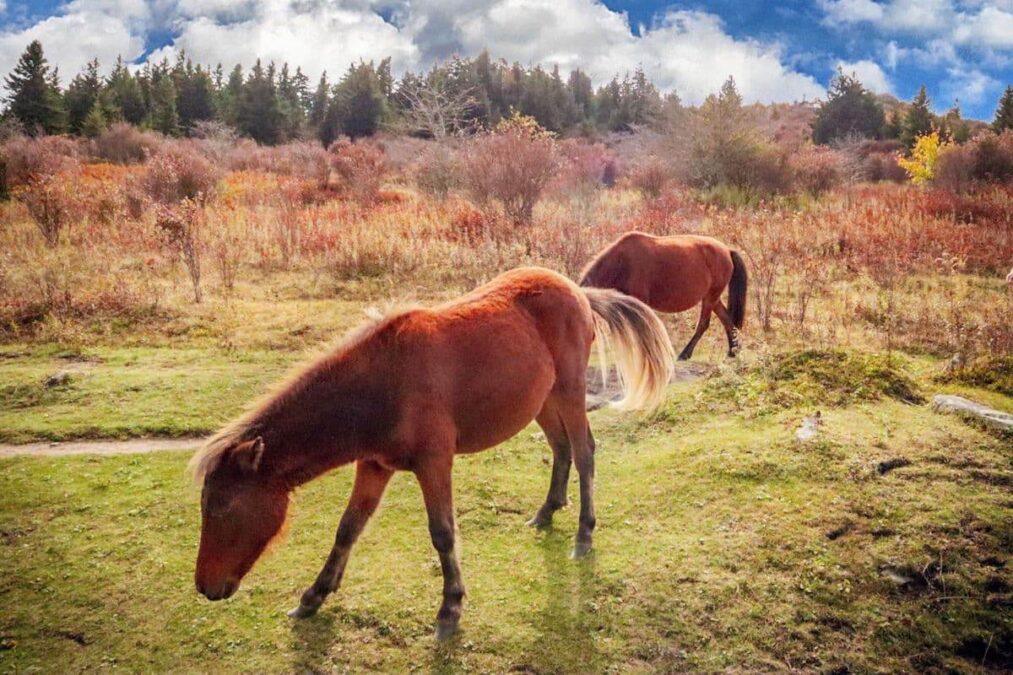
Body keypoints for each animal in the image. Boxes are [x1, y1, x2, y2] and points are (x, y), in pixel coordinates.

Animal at [190, 267, 674, 639]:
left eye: (223, 508)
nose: (205, 586)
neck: (382, 386)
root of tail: (576, 290)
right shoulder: (374, 465)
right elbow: (348, 528)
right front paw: (313, 597)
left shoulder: (434, 462)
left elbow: (442, 532)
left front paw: (450, 610)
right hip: (542, 400)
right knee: (561, 448)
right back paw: (547, 511)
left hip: (570, 392)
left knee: (585, 451)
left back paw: (583, 534)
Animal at [580, 232, 748, 360]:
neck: (621, 263)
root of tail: (727, 250)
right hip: (712, 298)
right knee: (727, 320)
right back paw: (732, 351)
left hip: (710, 297)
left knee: (703, 325)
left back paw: (685, 354)